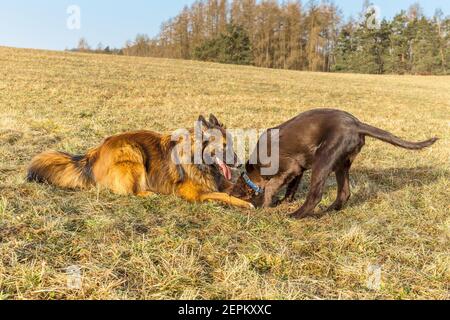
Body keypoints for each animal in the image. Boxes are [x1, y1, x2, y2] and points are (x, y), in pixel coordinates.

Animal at [27, 115, 253, 210]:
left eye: (231, 143)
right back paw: (149, 193)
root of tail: (93, 154)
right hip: (133, 153)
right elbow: (223, 194)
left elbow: (229, 187)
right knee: (130, 192)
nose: (239, 164)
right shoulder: (194, 193)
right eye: (223, 146)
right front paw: (246, 203)